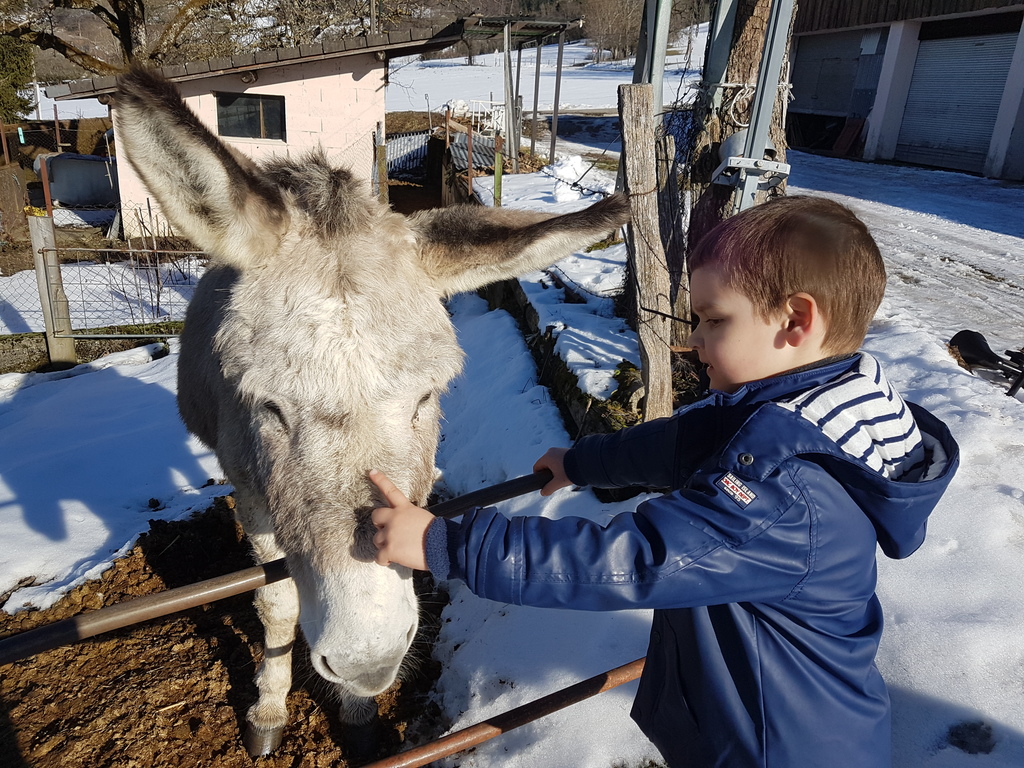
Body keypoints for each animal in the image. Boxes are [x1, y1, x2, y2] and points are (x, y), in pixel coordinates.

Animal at [113, 65, 629, 758]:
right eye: (268, 406)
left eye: (428, 397)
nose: (366, 659)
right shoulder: (250, 482)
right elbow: (277, 605)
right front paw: (269, 712)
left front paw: (357, 716)